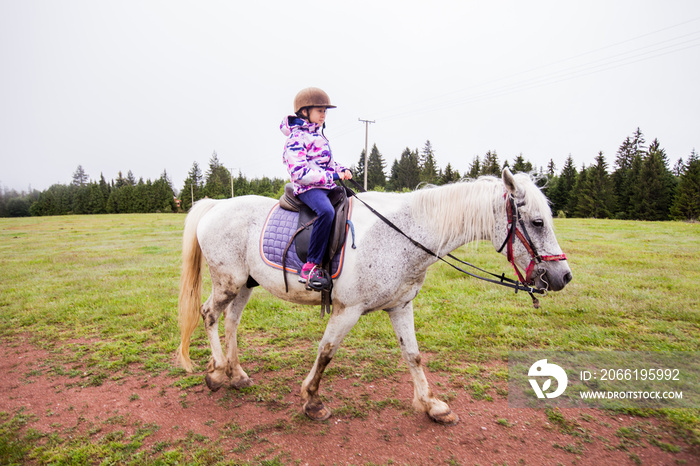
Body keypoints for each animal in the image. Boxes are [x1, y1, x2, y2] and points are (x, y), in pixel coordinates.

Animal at [175, 169, 568, 424]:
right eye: (537, 223)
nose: (563, 276)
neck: (404, 234)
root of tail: (215, 205)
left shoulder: (401, 306)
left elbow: (413, 355)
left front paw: (431, 405)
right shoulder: (347, 310)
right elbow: (326, 352)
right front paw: (312, 401)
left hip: (245, 283)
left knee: (231, 320)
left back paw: (236, 373)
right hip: (228, 281)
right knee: (209, 314)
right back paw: (217, 373)